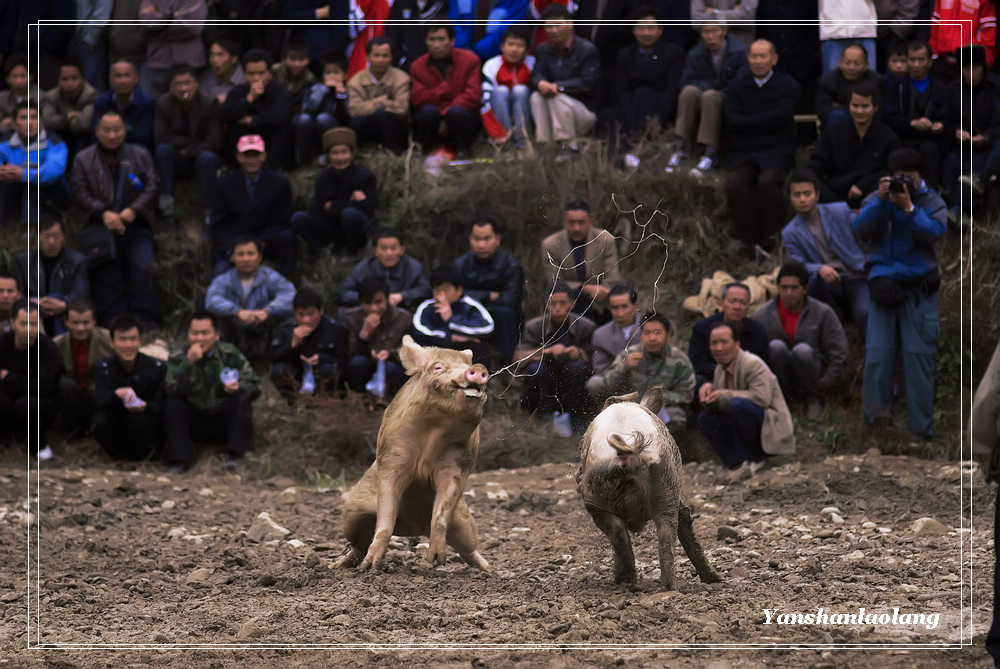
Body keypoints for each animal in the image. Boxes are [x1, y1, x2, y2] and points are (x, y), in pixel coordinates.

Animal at [336, 336, 492, 572]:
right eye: (438, 367)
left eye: (467, 364)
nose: (479, 368)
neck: (434, 433)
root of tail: (416, 527)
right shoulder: (393, 457)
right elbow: (386, 517)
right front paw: (372, 566)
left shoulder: (457, 463)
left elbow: (441, 511)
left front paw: (435, 561)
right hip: (352, 515)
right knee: (357, 544)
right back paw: (342, 566)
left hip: (464, 523)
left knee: (469, 549)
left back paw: (492, 571)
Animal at [576, 388, 724, 588]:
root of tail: (630, 451)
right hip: (665, 484)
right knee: (665, 538)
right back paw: (668, 587)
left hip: (595, 497)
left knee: (621, 533)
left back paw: (627, 581)